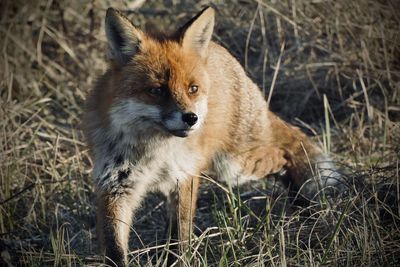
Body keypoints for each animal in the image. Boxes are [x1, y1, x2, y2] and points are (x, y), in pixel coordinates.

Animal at [83, 6, 340, 267]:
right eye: (156, 90)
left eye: (192, 89)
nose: (191, 118)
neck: (155, 150)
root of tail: (221, 51)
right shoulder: (115, 183)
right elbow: (115, 246)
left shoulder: (184, 176)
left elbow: (180, 237)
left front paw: (179, 260)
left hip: (236, 166)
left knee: (284, 154)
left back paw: (302, 202)